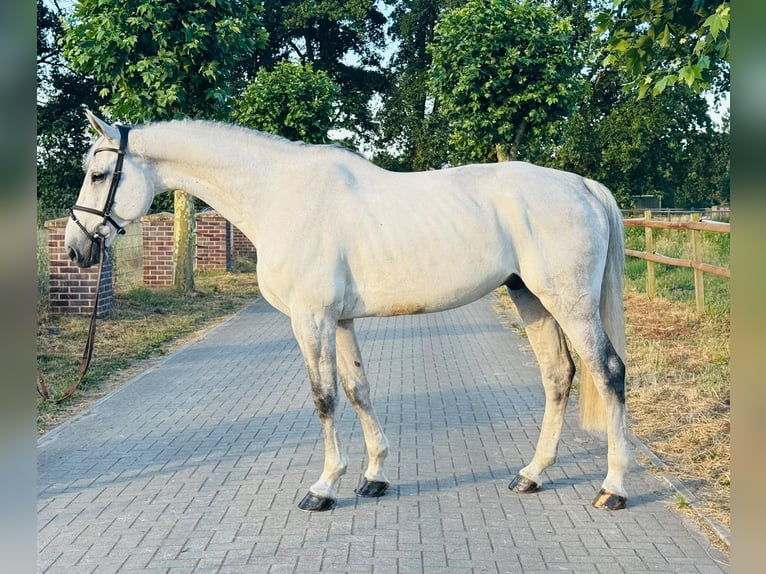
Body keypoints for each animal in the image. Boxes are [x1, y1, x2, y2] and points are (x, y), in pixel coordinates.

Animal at [65, 111, 630, 512]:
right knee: (558, 376)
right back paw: (531, 475)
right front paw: (374, 477)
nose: (77, 247)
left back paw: (613, 488)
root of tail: (581, 185)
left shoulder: (310, 318)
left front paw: (324, 487)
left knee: (607, 371)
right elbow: (358, 390)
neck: (280, 195)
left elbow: (325, 398)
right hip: (530, 297)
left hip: (569, 303)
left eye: (98, 173)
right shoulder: (338, 320)